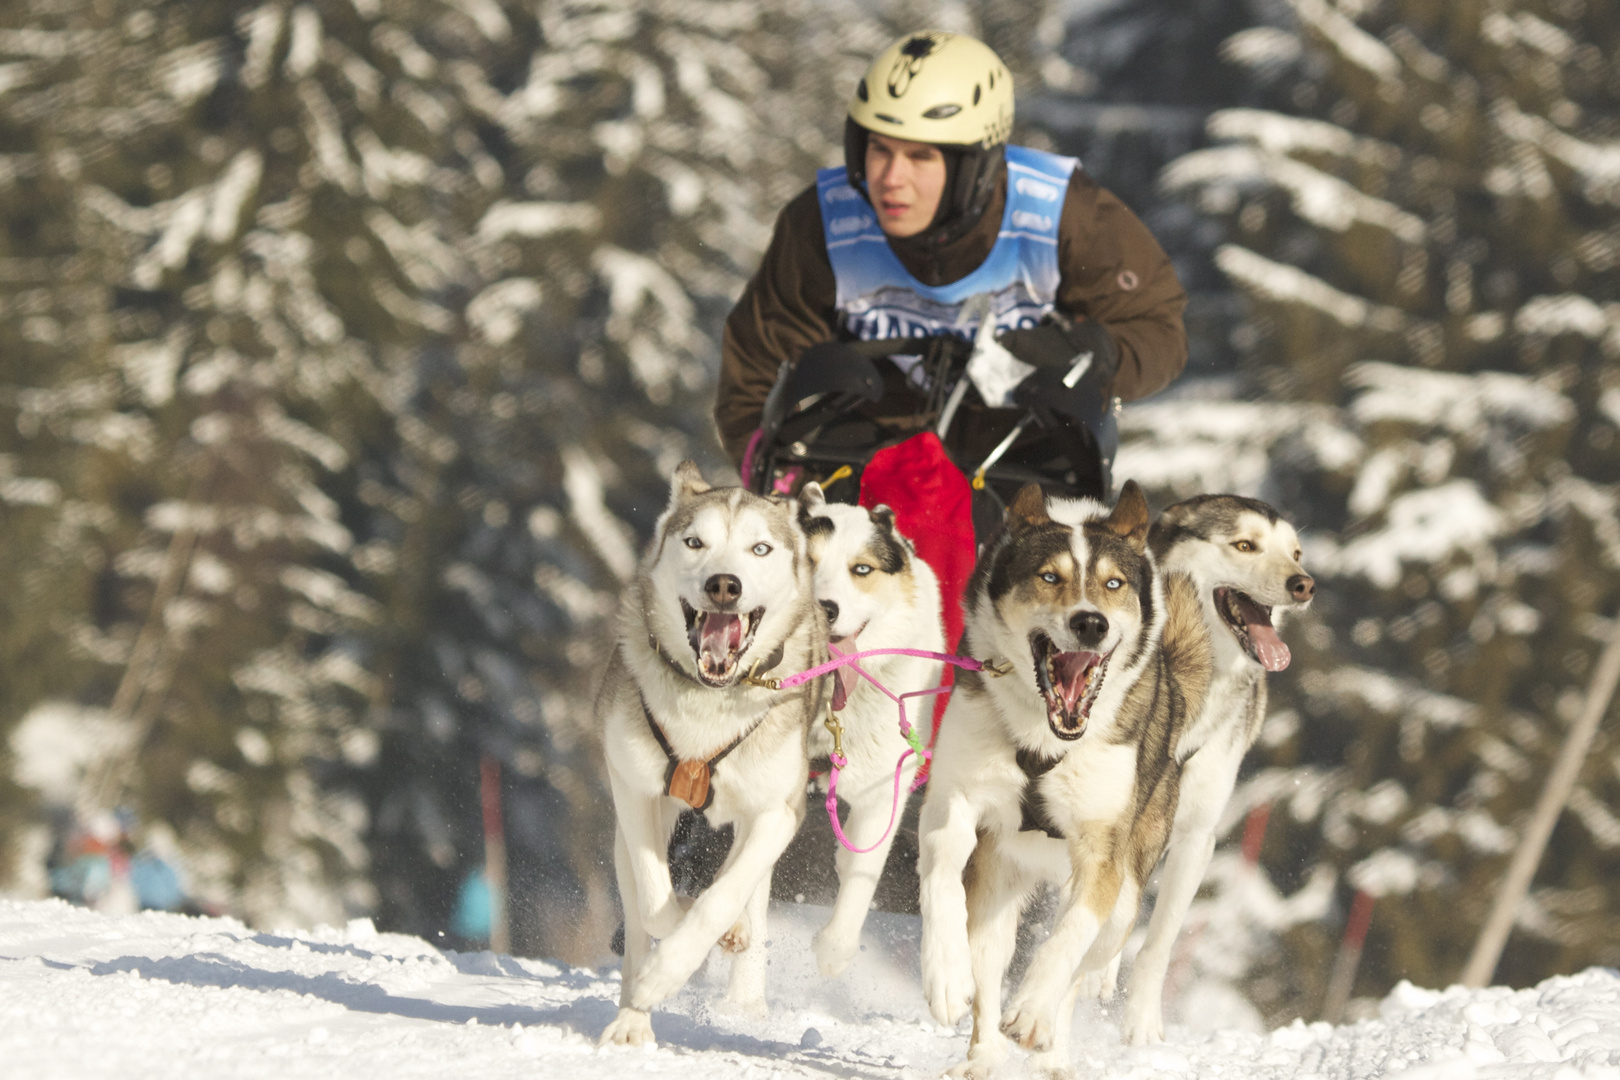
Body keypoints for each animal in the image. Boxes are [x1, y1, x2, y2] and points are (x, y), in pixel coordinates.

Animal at [596, 466, 829, 1049]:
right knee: (641, 909)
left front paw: (672, 968)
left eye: (760, 548)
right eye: (694, 542)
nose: (724, 584)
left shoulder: (778, 811)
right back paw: (631, 1020)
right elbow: (656, 901)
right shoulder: (636, 792)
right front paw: (661, 965)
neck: (711, 701)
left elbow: (721, 898)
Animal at [920, 485, 1211, 1075]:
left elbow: (1070, 938)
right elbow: (941, 872)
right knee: (989, 959)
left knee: (1086, 961)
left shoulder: (1101, 852)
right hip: (996, 884)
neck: (1046, 738)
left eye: (1113, 584)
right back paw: (982, 1055)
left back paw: (1051, 1044)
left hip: (1125, 900)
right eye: (1049, 577)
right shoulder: (954, 800)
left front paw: (1033, 1010)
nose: (1090, 623)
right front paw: (945, 977)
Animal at [1101, 495, 1315, 1042]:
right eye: (1244, 545)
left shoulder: (1196, 838)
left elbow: (1156, 942)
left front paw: (1141, 1026)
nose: (1304, 583)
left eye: (1295, 552)